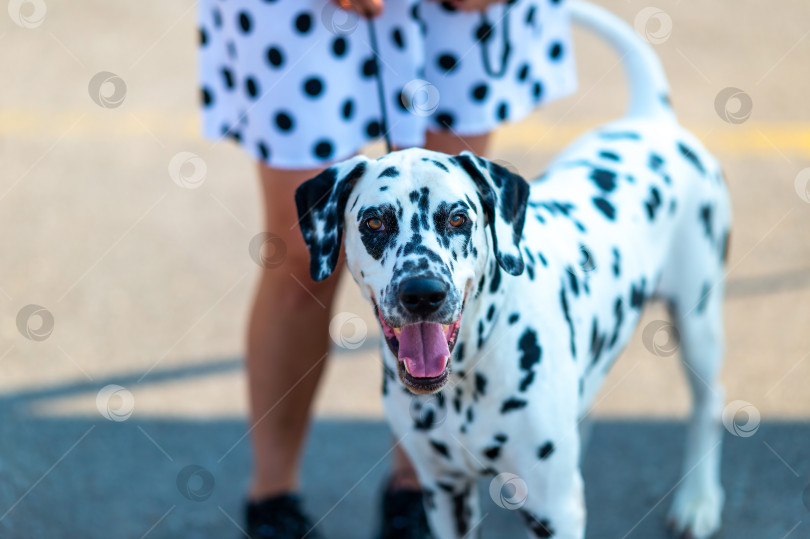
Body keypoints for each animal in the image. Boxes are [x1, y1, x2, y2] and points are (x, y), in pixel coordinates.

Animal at [294, 2, 728, 536]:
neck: (465, 377)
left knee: (708, 405)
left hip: (698, 322)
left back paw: (699, 501)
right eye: (374, 221)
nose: (423, 293)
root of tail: (652, 119)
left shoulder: (554, 507)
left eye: (458, 218)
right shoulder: (445, 493)